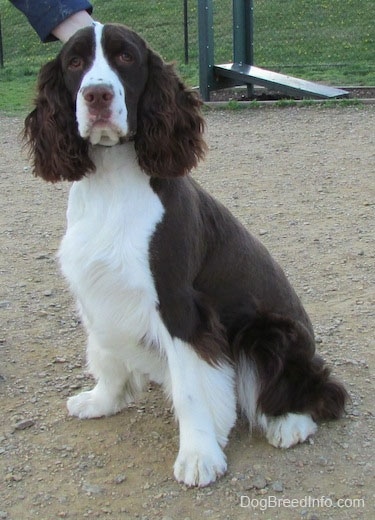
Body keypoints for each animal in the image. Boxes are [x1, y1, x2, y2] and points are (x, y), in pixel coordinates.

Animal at [23, 22, 348, 488]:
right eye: (74, 62)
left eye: (125, 57)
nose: (97, 95)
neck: (112, 182)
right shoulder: (98, 287)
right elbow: (105, 354)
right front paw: (102, 401)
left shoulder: (178, 305)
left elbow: (193, 388)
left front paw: (198, 455)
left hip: (268, 334)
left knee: (322, 393)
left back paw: (289, 423)